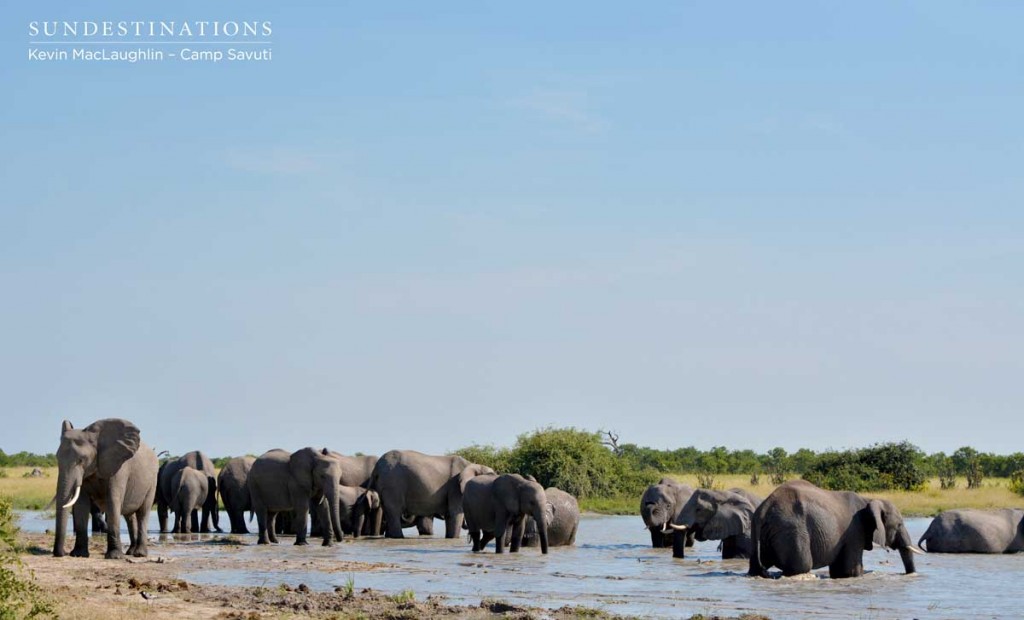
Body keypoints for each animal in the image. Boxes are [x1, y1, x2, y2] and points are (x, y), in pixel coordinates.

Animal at [51, 418, 157, 557]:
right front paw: (79, 554)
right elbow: (81, 504)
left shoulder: (119, 468)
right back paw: (130, 552)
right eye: (57, 458)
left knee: (143, 513)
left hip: (153, 481)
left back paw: (139, 554)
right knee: (129, 516)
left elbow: (113, 500)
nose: (62, 553)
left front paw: (114, 556)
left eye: (81, 460)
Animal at [749, 481, 925, 577]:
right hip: (791, 529)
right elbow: (850, 570)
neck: (869, 500)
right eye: (899, 525)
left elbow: (839, 570)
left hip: (761, 531)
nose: (910, 575)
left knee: (757, 567)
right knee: (801, 566)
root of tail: (765, 506)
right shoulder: (855, 531)